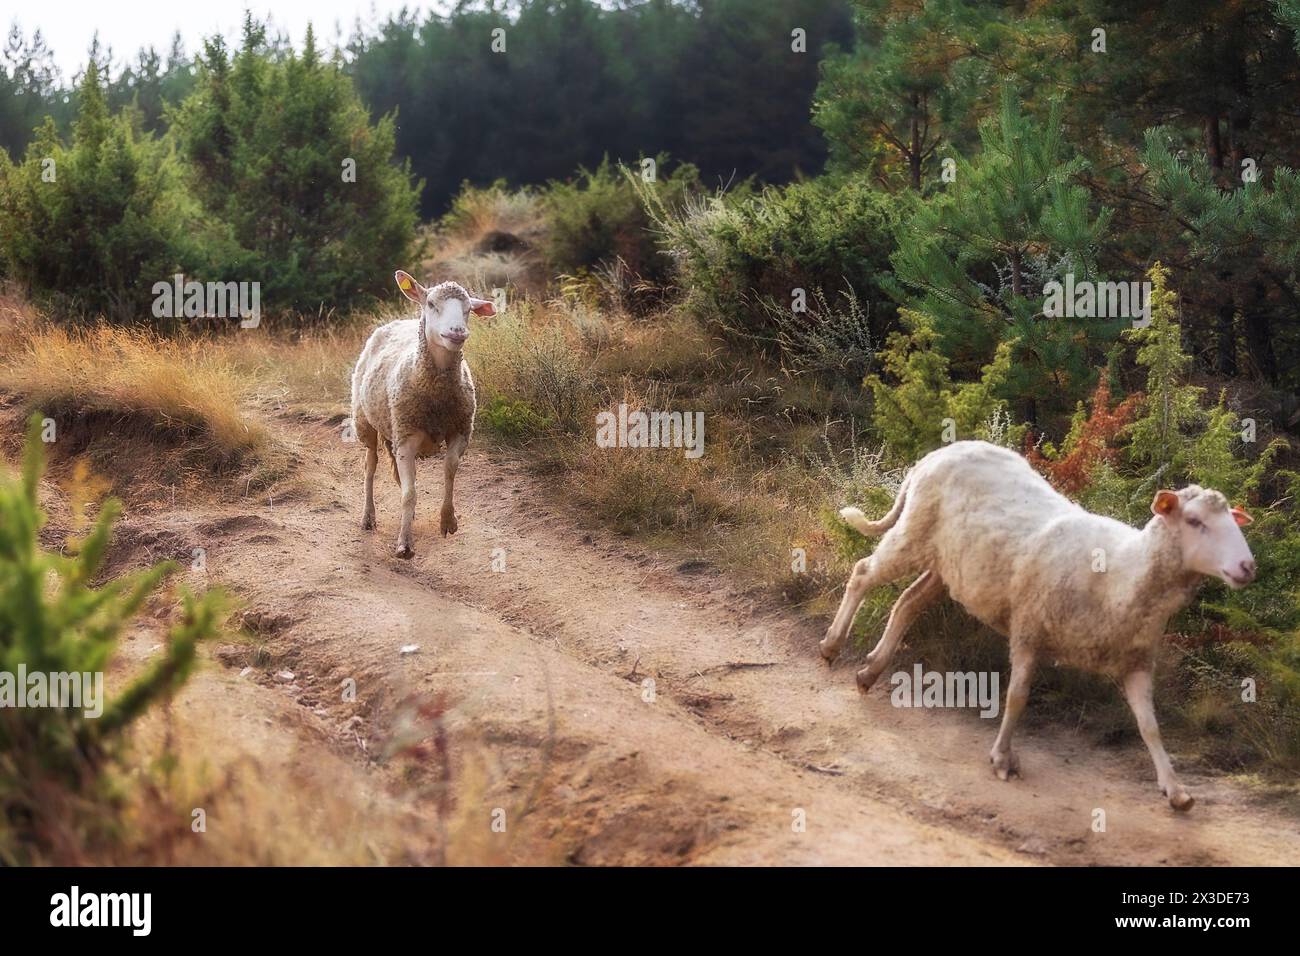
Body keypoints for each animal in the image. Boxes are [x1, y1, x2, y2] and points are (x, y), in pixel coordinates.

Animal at [351, 270, 496, 561]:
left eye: (468, 309)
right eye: (431, 304)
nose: (457, 331)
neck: (436, 393)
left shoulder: (460, 431)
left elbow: (449, 472)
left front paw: (448, 521)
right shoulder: (407, 439)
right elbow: (409, 493)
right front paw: (404, 545)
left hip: (392, 428)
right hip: (365, 422)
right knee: (370, 467)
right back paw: (368, 517)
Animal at [816, 439, 1253, 806]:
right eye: (1194, 521)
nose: (1248, 566)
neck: (1122, 574)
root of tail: (940, 452)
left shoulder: (1137, 662)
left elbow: (1150, 727)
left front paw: (1175, 789)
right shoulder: (1029, 630)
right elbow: (1017, 697)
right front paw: (1002, 757)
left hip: (948, 565)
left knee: (906, 604)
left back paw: (870, 671)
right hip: (913, 534)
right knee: (863, 573)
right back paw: (832, 646)